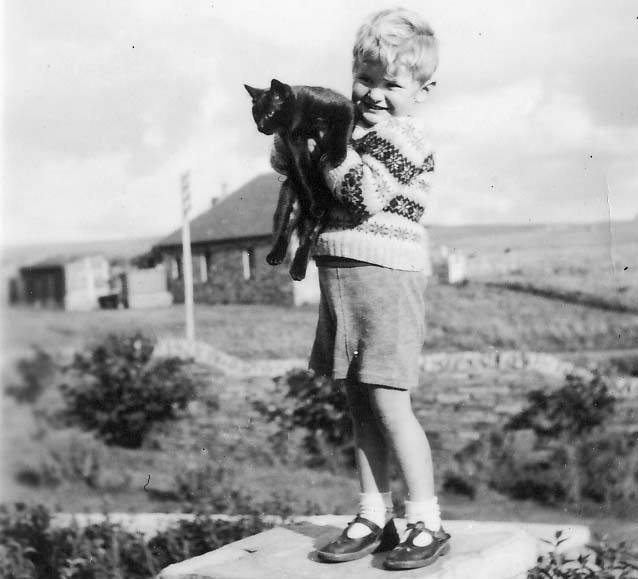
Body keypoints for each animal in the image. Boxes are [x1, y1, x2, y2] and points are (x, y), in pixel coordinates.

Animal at [245, 78, 354, 281]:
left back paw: (298, 269)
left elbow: (340, 132)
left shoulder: (344, 107)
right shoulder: (296, 144)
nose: (260, 127)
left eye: (270, 113)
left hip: (321, 213)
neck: (298, 117)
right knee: (285, 228)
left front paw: (336, 157)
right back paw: (276, 257)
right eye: (255, 115)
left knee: (308, 238)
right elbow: (305, 171)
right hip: (289, 198)